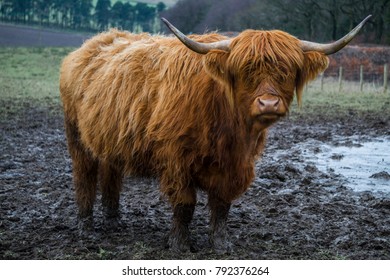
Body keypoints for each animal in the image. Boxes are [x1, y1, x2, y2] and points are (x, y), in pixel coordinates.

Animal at [59, 17, 370, 254]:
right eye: (246, 71)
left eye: (286, 71)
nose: (269, 104)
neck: (228, 126)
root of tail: (94, 43)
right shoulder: (176, 159)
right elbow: (185, 204)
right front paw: (179, 245)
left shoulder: (236, 164)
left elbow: (222, 206)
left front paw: (221, 244)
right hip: (77, 137)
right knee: (84, 177)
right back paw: (86, 227)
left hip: (107, 140)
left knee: (111, 175)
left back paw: (113, 221)